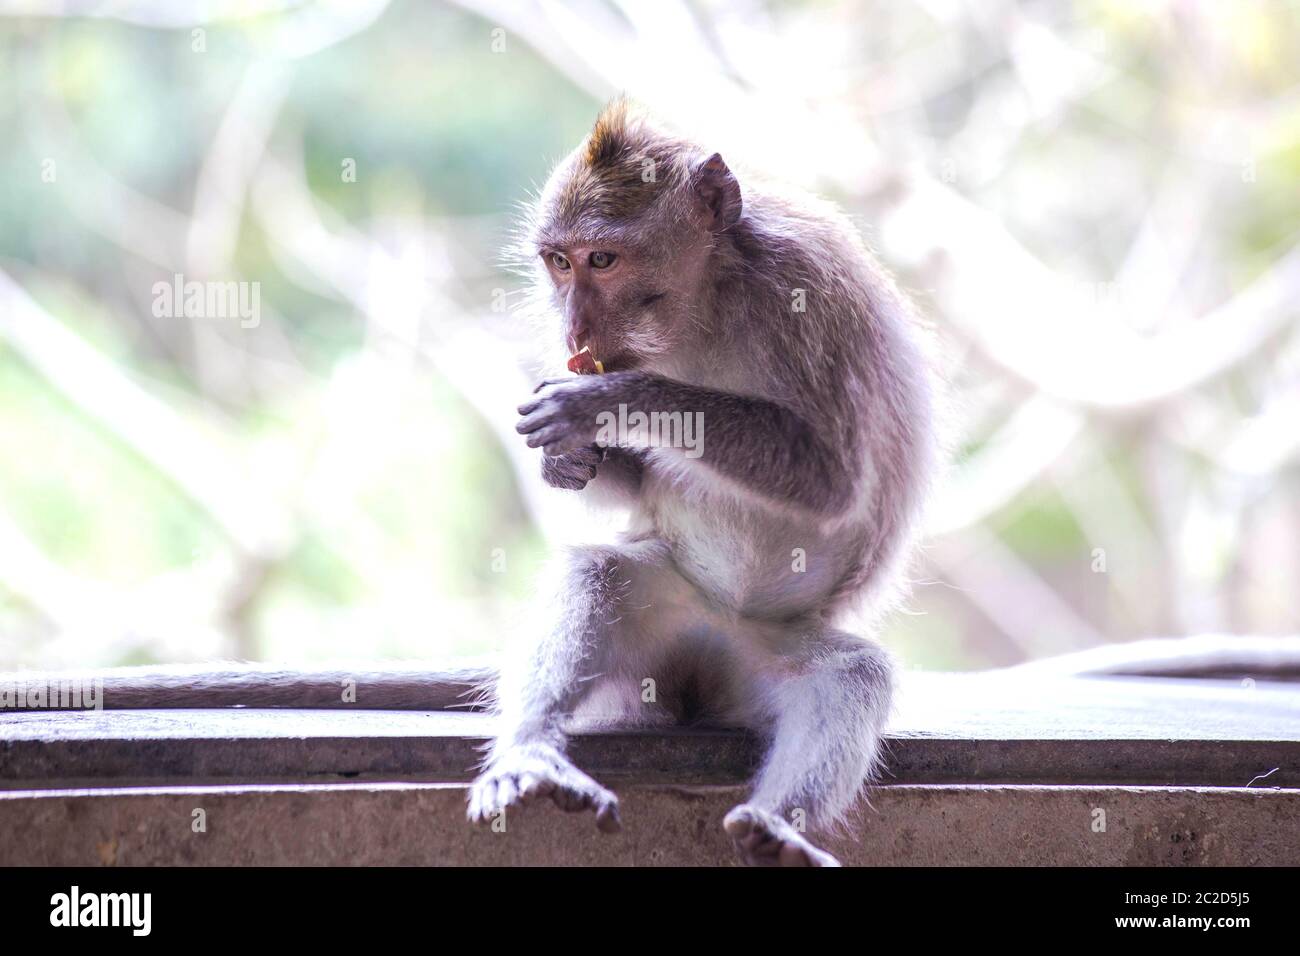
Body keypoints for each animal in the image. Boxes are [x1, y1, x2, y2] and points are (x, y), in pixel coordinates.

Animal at [464, 99, 939, 867]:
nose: (574, 325)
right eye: (559, 262)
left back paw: (777, 825)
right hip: (668, 609)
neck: (706, 303)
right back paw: (531, 751)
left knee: (849, 678)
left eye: (603, 259)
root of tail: (705, 662)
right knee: (599, 576)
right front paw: (565, 459)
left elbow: (832, 479)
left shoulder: (806, 291)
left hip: (769, 649)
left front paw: (605, 402)